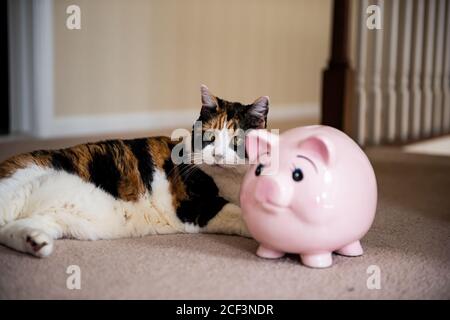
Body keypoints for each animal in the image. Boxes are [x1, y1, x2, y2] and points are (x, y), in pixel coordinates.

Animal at [0, 85, 268, 258]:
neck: (232, 181)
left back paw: (35, 242)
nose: (218, 156)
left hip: (50, 216)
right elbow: (238, 213)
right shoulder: (195, 206)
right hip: (16, 189)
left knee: (7, 230)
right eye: (209, 137)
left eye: (236, 141)